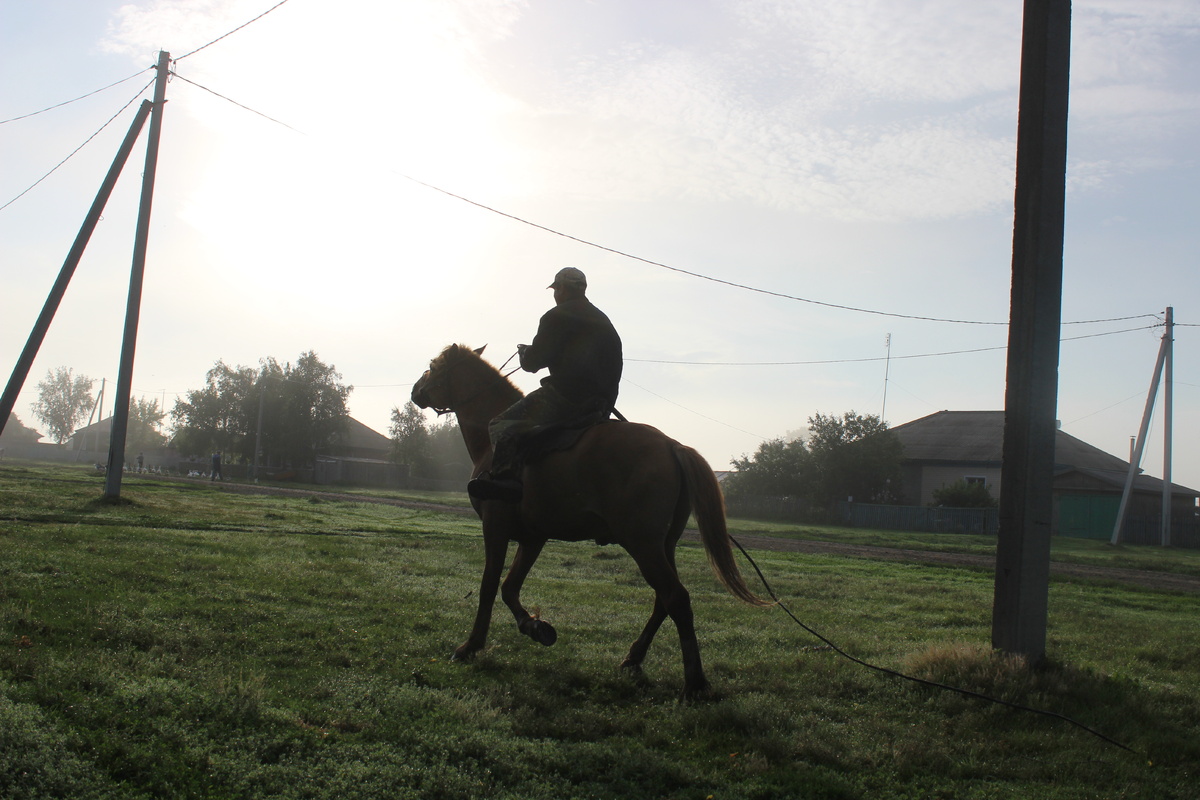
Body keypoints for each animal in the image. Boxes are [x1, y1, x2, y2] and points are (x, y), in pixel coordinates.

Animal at [412, 345, 768, 700]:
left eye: (433, 366)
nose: (416, 390)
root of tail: (672, 446)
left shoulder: (495, 528)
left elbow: (488, 586)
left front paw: (470, 646)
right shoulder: (533, 538)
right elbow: (509, 587)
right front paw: (535, 627)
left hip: (643, 544)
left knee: (676, 598)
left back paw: (694, 682)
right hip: (663, 546)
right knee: (663, 600)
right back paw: (634, 658)